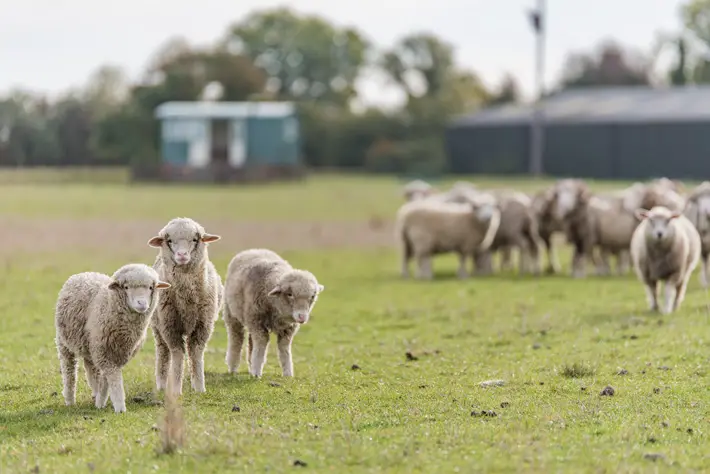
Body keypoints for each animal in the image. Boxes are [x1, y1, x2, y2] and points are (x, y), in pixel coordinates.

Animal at [54, 264, 171, 412]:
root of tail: (83, 274)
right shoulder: (104, 352)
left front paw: (100, 401)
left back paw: (94, 393)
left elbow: (105, 379)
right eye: (126, 287)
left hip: (89, 344)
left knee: (91, 368)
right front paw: (119, 406)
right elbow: (114, 378)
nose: (142, 303)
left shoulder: (114, 352)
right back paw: (69, 399)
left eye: (151, 287)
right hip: (64, 343)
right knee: (69, 371)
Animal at [151, 218, 225, 396]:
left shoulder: (203, 326)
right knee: (163, 353)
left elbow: (196, 354)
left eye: (194, 239)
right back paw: (161, 385)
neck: (187, 301)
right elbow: (177, 355)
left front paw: (199, 388)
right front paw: (176, 390)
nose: (182, 255)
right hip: (158, 327)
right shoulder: (170, 327)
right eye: (170, 241)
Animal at [222, 248, 326, 378]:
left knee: (251, 341)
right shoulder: (257, 322)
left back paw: (250, 365)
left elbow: (284, 349)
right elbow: (261, 345)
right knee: (236, 339)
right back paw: (233, 367)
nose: (302, 317)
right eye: (290, 294)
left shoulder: (287, 329)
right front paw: (257, 373)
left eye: (312, 296)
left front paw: (288, 373)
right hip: (232, 314)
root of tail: (253, 250)